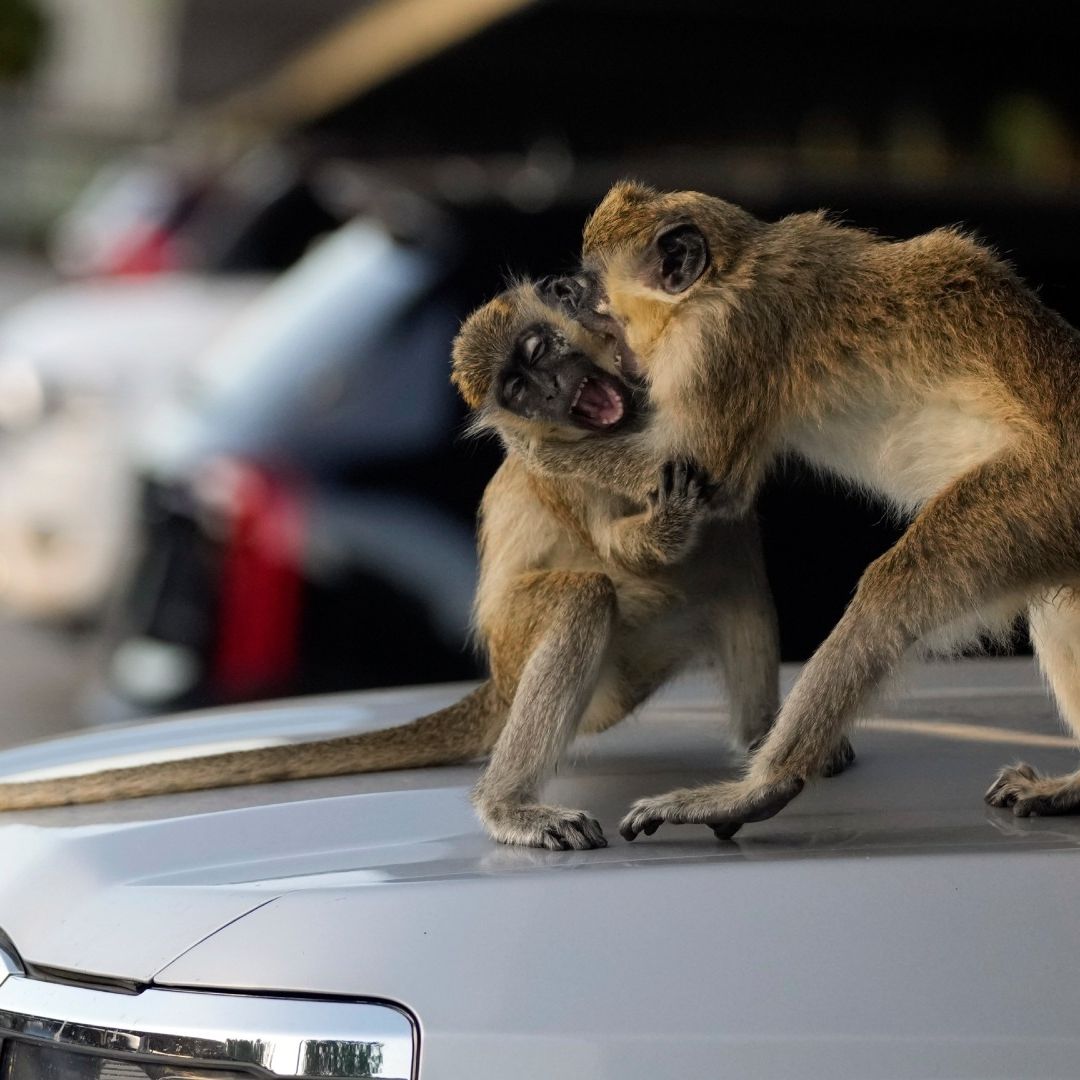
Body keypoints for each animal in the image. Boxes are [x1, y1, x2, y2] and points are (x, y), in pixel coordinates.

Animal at [518, 179, 1080, 842]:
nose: (556, 287)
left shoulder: (723, 342)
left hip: (1043, 489)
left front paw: (532, 444)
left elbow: (704, 472)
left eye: (584, 288)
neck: (725, 278)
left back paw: (762, 789)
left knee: (899, 590)